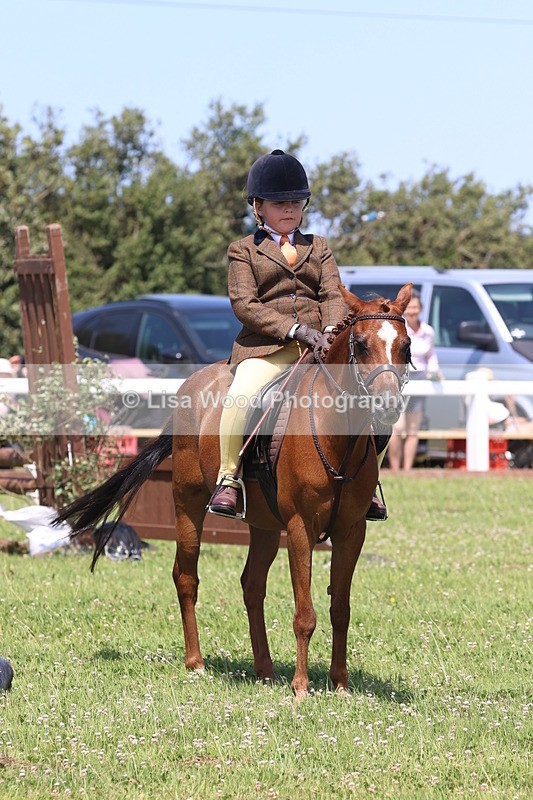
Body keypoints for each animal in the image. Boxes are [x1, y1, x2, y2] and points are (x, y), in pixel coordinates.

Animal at [55, 283, 413, 697]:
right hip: (188, 505)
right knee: (186, 578)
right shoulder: (300, 528)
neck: (335, 434)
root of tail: (192, 385)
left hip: (264, 525)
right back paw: (196, 663)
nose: (387, 406)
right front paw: (301, 687)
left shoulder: (351, 531)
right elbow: (304, 613)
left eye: (405, 346)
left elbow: (340, 608)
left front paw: (340, 683)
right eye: (361, 344)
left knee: (252, 585)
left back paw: (264, 669)